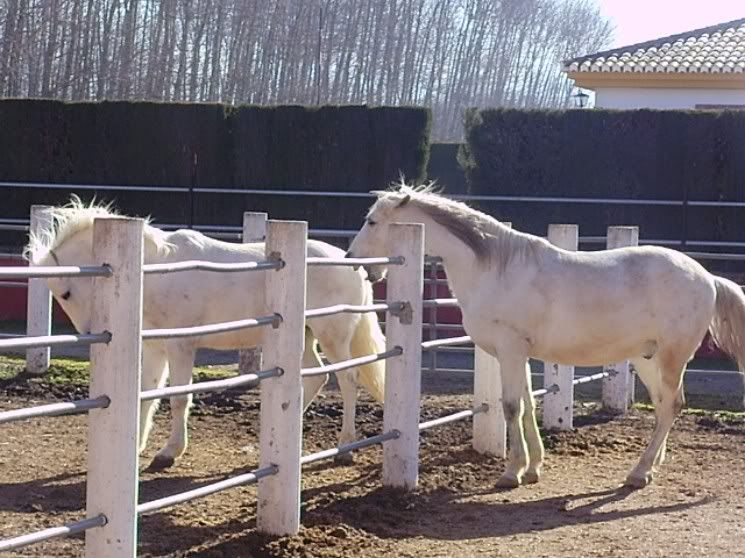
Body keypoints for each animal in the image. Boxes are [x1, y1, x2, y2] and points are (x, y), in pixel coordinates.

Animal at [24, 199, 384, 470]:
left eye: (65, 293)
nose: (89, 333)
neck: (156, 271)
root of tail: (353, 265)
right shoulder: (155, 348)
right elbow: (148, 393)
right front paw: (136, 446)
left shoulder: (181, 345)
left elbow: (179, 397)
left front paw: (168, 453)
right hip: (306, 337)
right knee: (316, 378)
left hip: (333, 336)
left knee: (348, 380)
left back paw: (345, 446)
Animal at [348, 185, 744, 490]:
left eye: (372, 221)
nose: (354, 260)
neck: (494, 269)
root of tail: (707, 277)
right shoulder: (517, 354)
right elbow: (527, 403)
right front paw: (534, 467)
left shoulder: (509, 350)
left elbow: (511, 406)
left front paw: (511, 473)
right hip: (647, 358)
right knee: (665, 406)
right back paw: (648, 469)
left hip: (671, 358)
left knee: (671, 406)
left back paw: (639, 471)